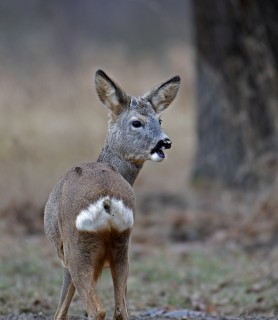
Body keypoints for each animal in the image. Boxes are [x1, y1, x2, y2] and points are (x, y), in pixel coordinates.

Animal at [44, 70, 180, 320]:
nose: (165, 142)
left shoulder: (65, 256)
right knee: (120, 309)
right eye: (137, 122)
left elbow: (61, 310)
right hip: (122, 246)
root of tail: (106, 201)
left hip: (78, 248)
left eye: (159, 120)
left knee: (97, 309)